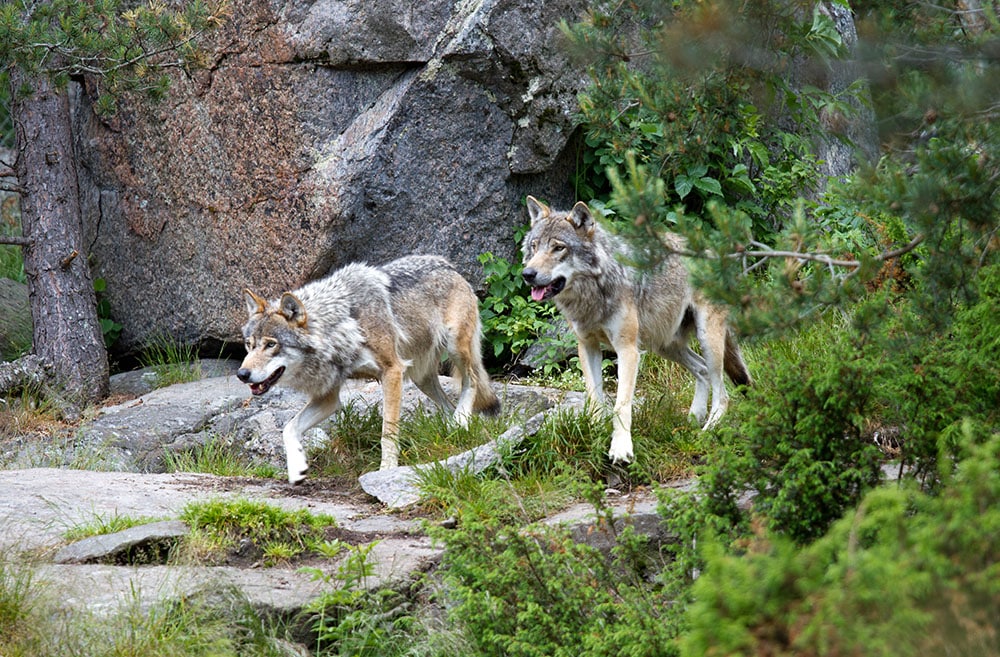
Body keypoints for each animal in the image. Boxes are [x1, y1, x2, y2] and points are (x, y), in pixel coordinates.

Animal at [235, 255, 500, 482]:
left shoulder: (392, 371)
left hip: (454, 348)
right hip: (420, 378)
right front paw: (296, 468)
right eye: (249, 345)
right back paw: (455, 427)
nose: (241, 374)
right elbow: (289, 428)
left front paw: (387, 469)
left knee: (472, 380)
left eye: (271, 344)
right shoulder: (328, 398)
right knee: (448, 405)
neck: (344, 324)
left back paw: (461, 420)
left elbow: (387, 432)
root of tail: (449, 265)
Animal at [524, 197, 752, 464]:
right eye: (534, 247)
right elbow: (594, 398)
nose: (527, 274)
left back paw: (709, 429)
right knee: (703, 370)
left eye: (558, 248)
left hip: (707, 340)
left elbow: (621, 404)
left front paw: (621, 449)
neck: (594, 291)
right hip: (665, 345)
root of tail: (715, 253)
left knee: (723, 394)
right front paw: (594, 434)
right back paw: (693, 419)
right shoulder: (587, 347)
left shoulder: (627, 349)